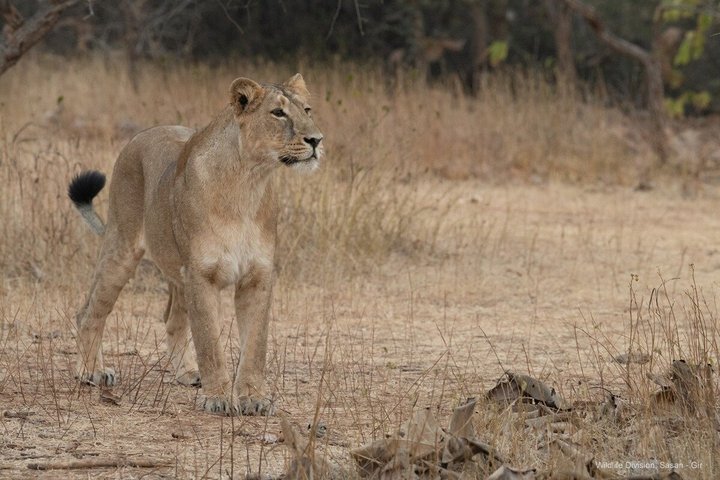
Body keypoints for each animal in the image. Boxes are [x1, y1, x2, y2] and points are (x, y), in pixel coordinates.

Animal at [68, 74, 323, 416]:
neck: (248, 183)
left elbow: (256, 344)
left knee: (172, 320)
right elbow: (209, 341)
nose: (317, 140)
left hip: (178, 272)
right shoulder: (202, 275)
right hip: (122, 249)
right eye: (278, 113)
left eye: (307, 109)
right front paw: (218, 399)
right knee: (90, 311)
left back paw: (187, 372)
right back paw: (91, 371)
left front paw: (254, 398)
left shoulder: (258, 276)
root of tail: (141, 135)